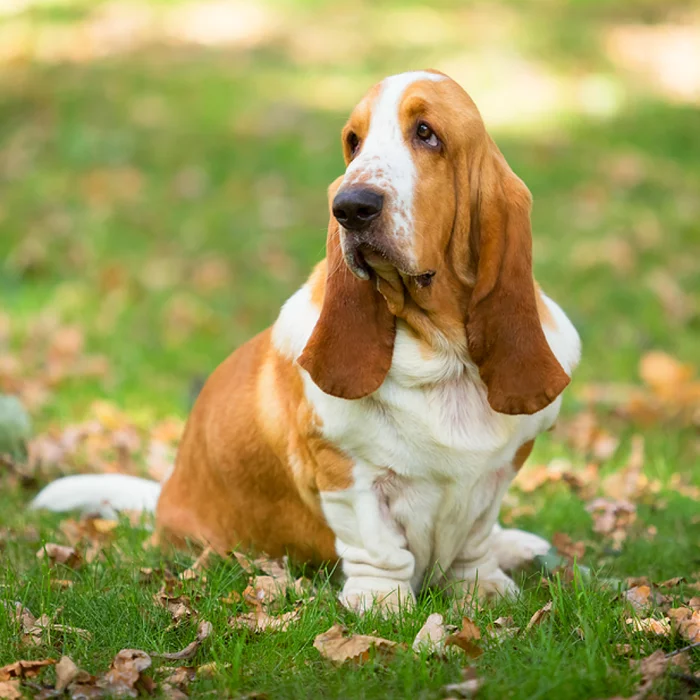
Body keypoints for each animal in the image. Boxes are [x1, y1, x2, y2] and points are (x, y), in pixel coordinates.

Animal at [32, 68, 580, 608]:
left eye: (426, 133)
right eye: (353, 142)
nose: (350, 207)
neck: (444, 354)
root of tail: (166, 493)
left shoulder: (497, 475)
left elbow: (475, 538)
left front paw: (482, 586)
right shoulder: (349, 474)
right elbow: (378, 547)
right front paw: (384, 605)